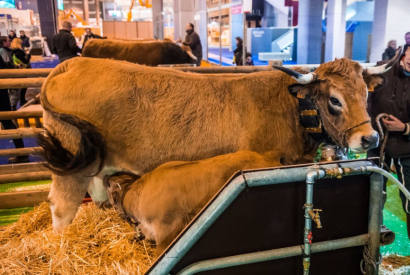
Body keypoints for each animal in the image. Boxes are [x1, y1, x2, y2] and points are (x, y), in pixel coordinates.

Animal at [38, 52, 398, 233]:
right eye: (334, 100)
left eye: (365, 93)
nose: (369, 137)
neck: (292, 107)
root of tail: (72, 63)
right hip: (72, 168)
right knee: (62, 208)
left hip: (95, 164)